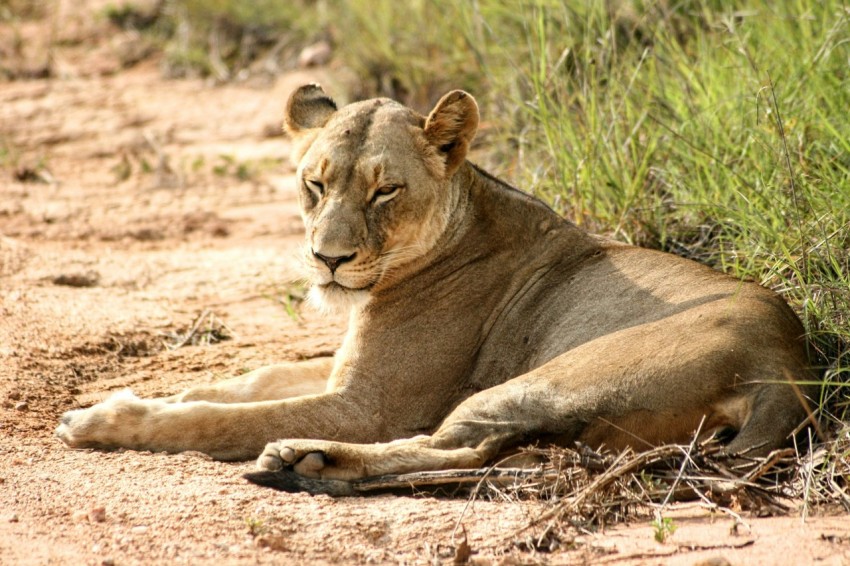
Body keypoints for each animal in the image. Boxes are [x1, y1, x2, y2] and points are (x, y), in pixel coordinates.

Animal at [56, 85, 820, 496]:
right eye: (314, 183)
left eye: (385, 190)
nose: (327, 259)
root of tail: (788, 363)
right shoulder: (345, 366)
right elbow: (257, 377)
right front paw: (179, 388)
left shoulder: (370, 406)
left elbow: (224, 420)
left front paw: (105, 418)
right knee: (482, 454)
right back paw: (308, 462)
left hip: (546, 378)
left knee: (460, 448)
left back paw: (300, 457)